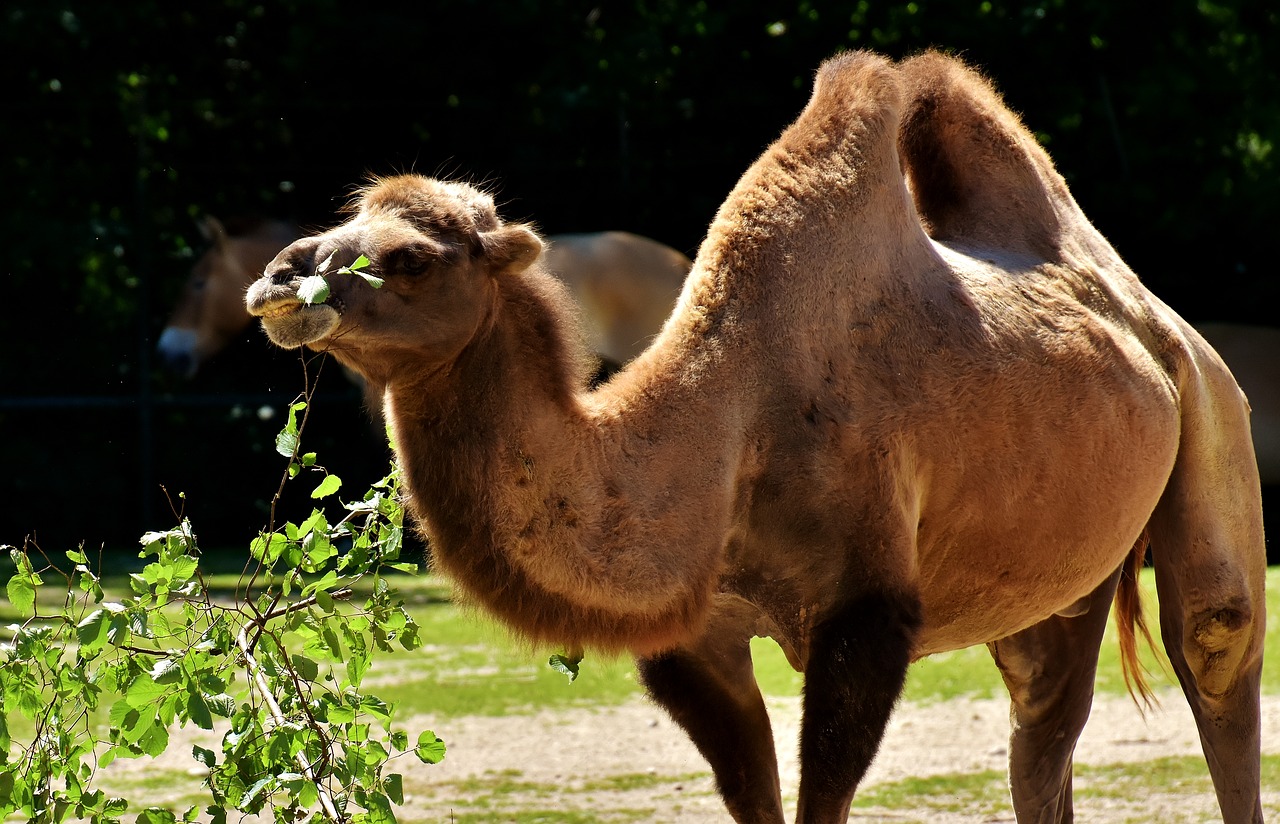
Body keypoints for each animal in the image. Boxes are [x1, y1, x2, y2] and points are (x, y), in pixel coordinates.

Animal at [244, 53, 1264, 824]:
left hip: (1214, 418)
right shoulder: (698, 640)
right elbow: (754, 795)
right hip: (1055, 583)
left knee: (1218, 651)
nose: (277, 279)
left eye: (411, 257)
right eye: (341, 220)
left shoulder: (867, 609)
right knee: (1042, 721)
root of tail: (1154, 320)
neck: (733, 433)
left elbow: (823, 796)